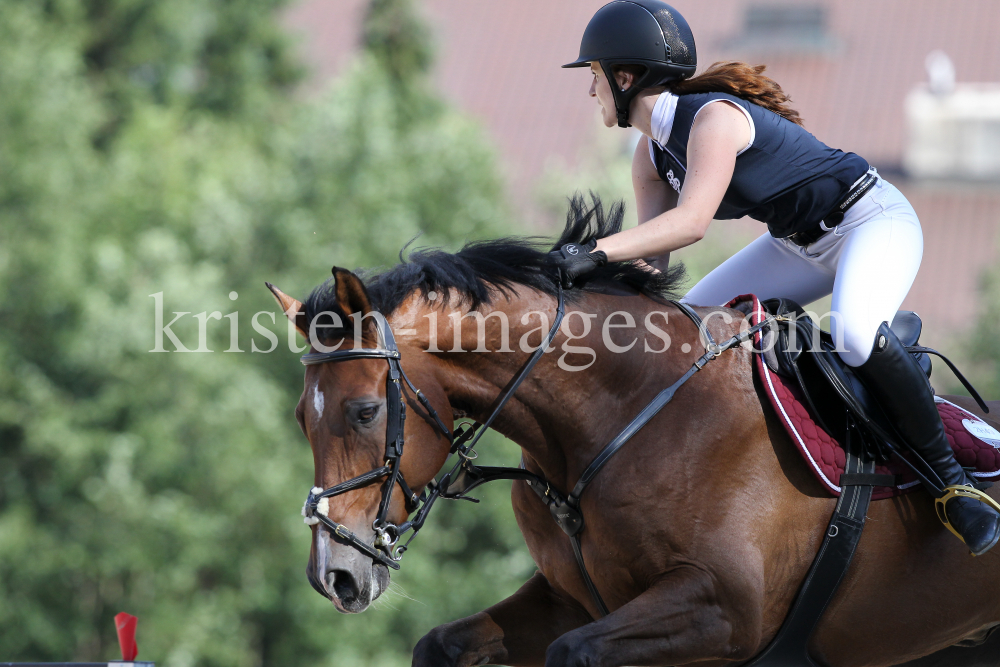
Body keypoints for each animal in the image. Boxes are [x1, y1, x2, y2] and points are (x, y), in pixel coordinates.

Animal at [266, 200, 1000, 667]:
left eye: (364, 411)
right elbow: (442, 644)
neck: (620, 414)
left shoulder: (725, 610)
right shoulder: (570, 600)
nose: (334, 575)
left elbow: (576, 654)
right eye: (304, 417)